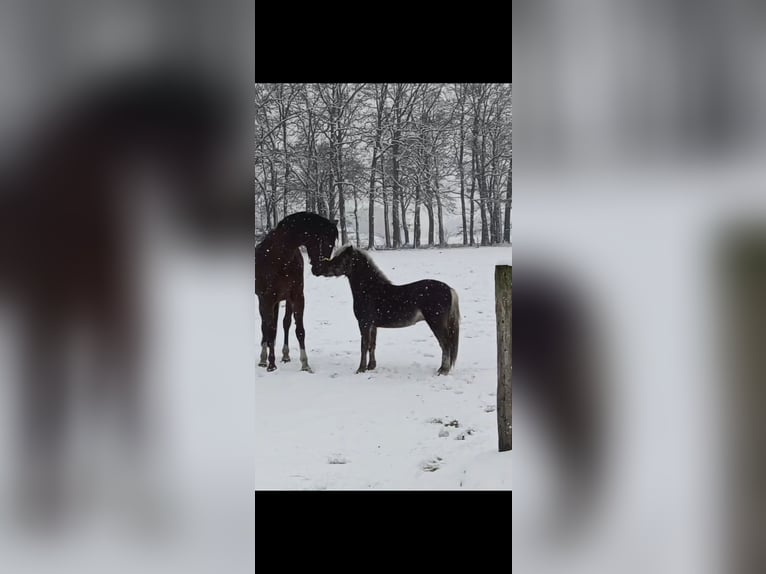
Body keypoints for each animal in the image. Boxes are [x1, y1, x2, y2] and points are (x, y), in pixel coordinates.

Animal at [255, 212, 339, 372]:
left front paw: (305, 364)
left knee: (284, 323)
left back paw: (285, 355)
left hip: (283, 301)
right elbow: (269, 329)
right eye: (324, 240)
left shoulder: (297, 297)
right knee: (265, 326)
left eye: (333, 242)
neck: (280, 256)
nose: (320, 269)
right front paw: (271, 364)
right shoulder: (267, 299)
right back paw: (263, 359)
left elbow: (299, 330)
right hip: (264, 301)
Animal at [320, 245, 460, 375]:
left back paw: (443, 370)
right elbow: (372, 345)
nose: (323, 268)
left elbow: (364, 345)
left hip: (436, 324)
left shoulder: (364, 323)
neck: (369, 290)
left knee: (445, 344)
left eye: (341, 258)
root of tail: (449, 289)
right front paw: (371, 366)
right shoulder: (373, 325)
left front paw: (361, 369)